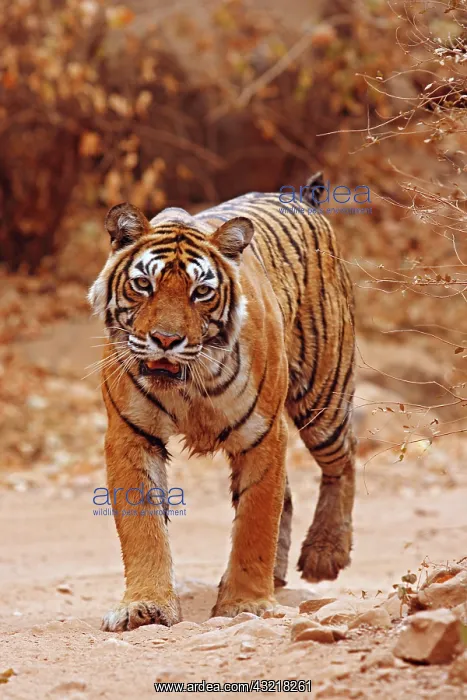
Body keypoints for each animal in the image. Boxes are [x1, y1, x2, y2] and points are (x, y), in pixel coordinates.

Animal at [89, 174, 356, 632]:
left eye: (201, 292)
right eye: (144, 285)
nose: (165, 340)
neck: (188, 384)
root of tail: (303, 198)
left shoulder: (264, 433)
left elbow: (256, 521)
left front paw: (244, 604)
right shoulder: (130, 434)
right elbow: (143, 529)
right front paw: (145, 606)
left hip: (323, 396)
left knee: (345, 458)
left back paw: (326, 552)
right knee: (291, 493)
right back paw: (280, 573)